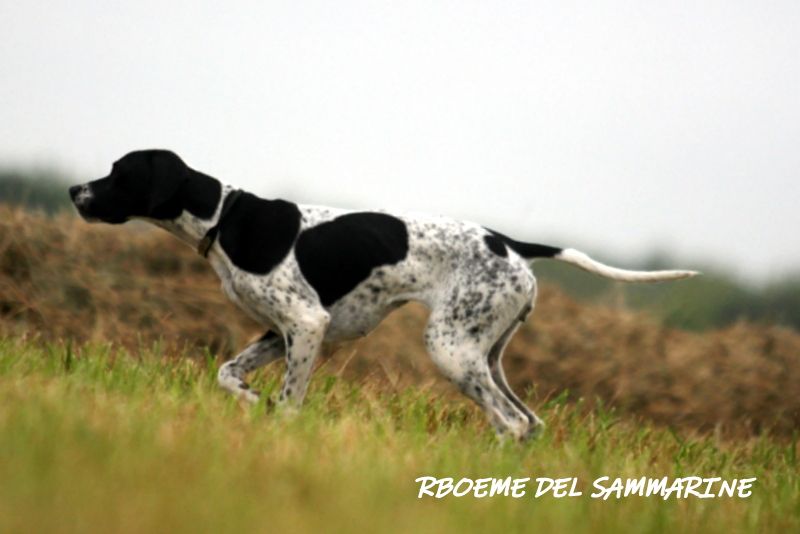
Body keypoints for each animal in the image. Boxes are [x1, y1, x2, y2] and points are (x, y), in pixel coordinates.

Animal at [70, 150, 700, 440]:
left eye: (119, 171)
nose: (74, 190)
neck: (226, 219)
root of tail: (507, 243)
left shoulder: (307, 326)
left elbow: (290, 401)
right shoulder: (280, 331)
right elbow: (227, 373)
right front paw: (248, 400)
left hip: (450, 349)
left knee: (510, 423)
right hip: (486, 355)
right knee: (530, 422)